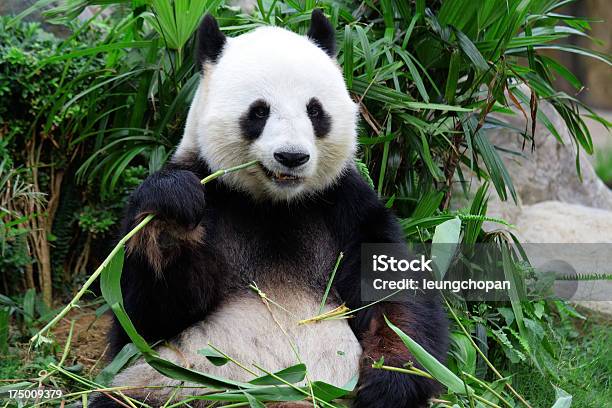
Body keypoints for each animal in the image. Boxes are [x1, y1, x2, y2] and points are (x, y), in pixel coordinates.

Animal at [94, 9, 450, 408]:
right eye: (259, 111)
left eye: (315, 110)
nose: (291, 157)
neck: (274, 204)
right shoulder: (211, 189)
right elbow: (142, 319)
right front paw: (173, 212)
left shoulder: (345, 206)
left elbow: (394, 295)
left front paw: (388, 382)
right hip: (174, 387)